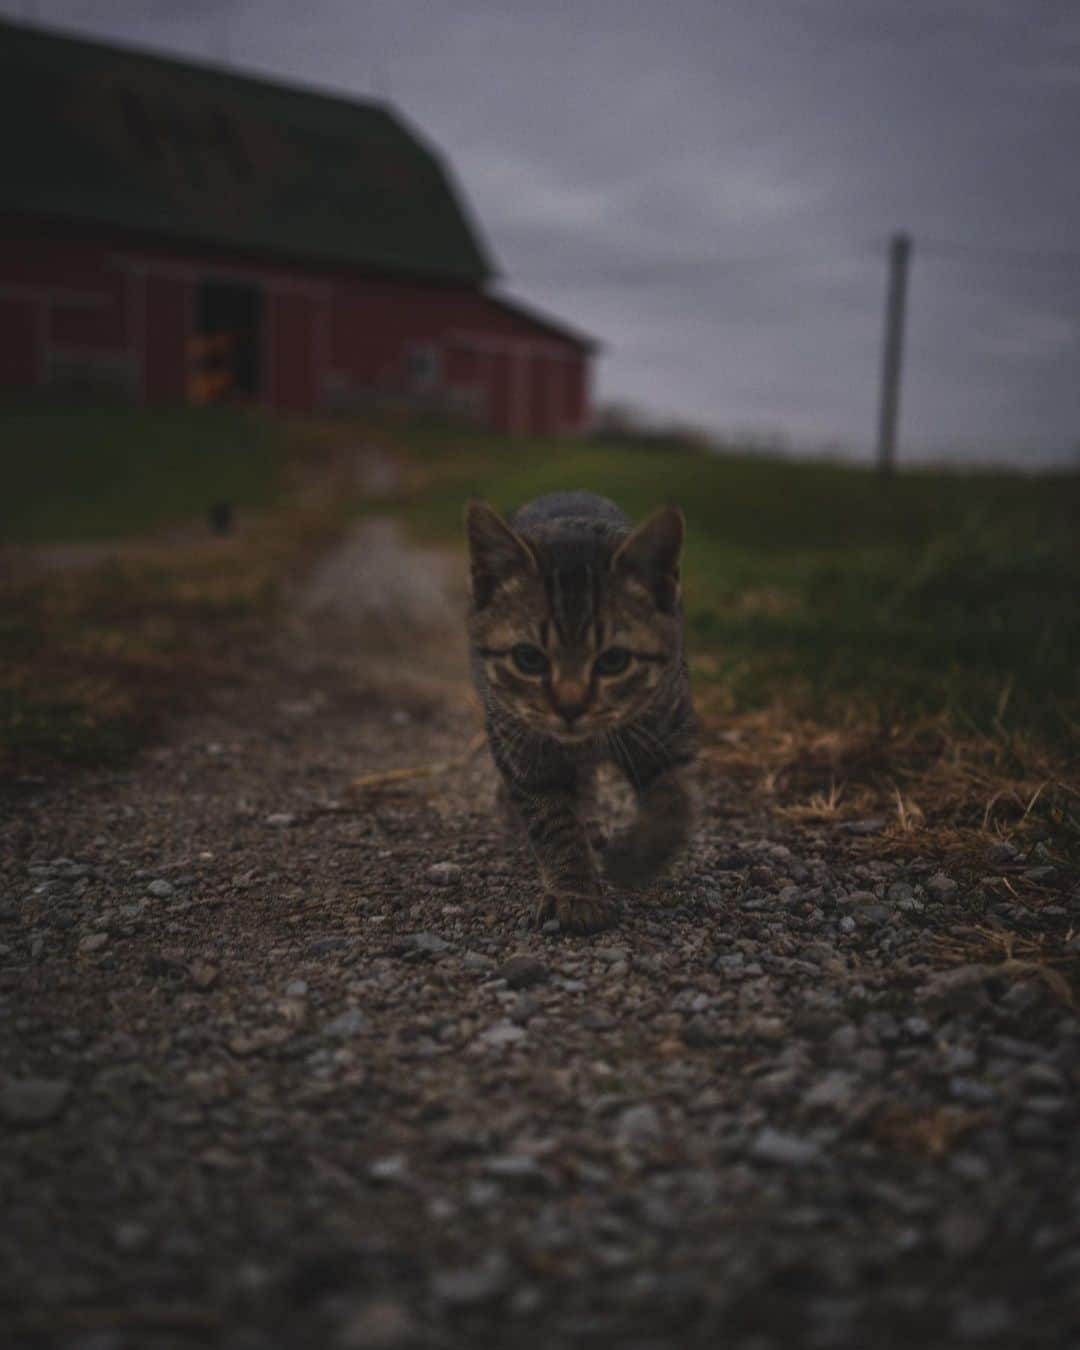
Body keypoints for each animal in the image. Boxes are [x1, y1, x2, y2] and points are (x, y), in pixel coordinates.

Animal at [467, 491, 696, 934]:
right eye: (528, 658)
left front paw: (636, 860)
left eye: (614, 661)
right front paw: (575, 892)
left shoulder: (667, 728)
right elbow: (554, 822)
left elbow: (673, 801)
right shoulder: (525, 752)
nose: (569, 706)